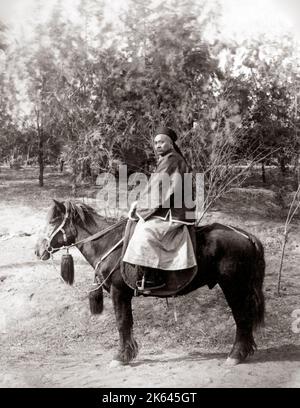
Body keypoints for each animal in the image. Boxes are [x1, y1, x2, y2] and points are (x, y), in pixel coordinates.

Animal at [35, 200, 264, 366]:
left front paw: (121, 356)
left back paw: (236, 355)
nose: (38, 250)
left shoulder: (119, 292)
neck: (109, 243)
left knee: (241, 317)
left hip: (233, 286)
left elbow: (122, 322)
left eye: (53, 222)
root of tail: (246, 235)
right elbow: (128, 323)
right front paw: (128, 353)